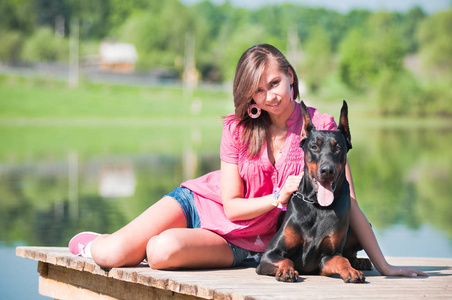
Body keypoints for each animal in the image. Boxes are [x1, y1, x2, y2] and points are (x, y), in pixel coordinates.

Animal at [258, 101, 370, 284]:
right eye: (314, 146)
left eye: (338, 147)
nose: (327, 170)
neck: (317, 206)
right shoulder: (269, 254)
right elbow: (286, 259)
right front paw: (287, 271)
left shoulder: (328, 257)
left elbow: (341, 259)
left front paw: (352, 271)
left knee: (350, 254)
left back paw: (360, 262)